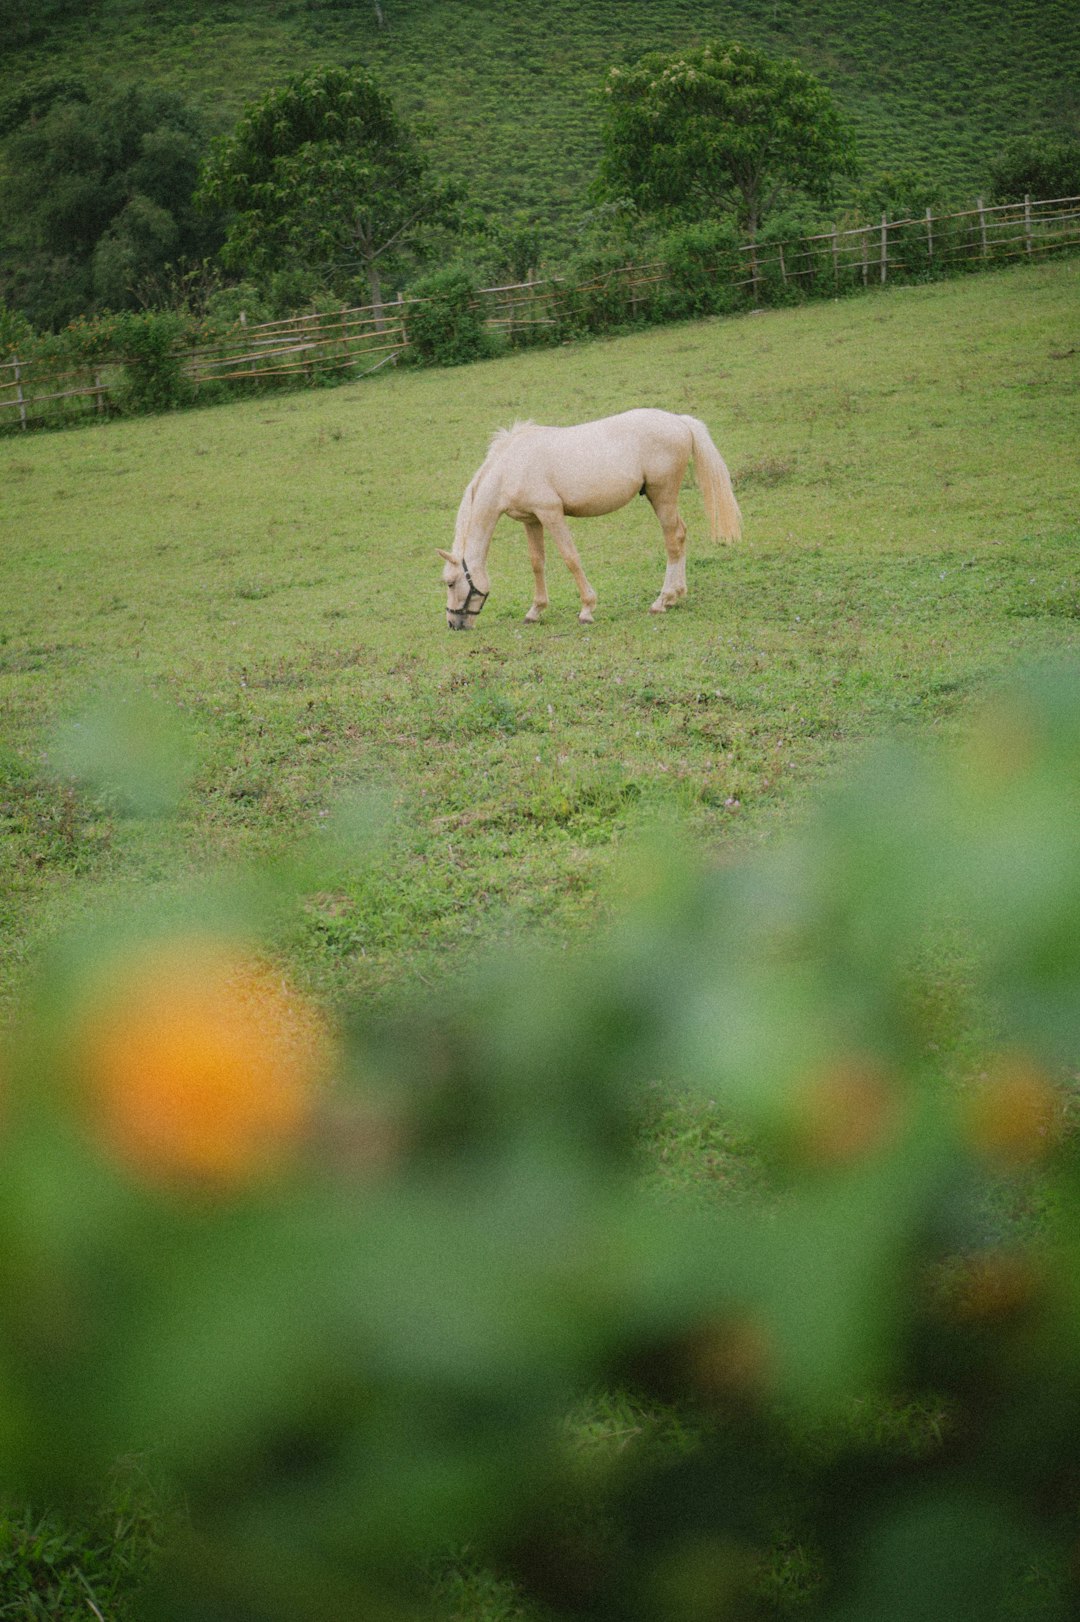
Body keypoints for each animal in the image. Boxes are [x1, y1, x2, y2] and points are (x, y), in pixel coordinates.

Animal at [434, 408, 732, 629]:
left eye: (450, 582)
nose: (453, 624)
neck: (510, 467)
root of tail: (679, 421)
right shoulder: (532, 520)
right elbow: (537, 563)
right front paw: (535, 611)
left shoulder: (551, 513)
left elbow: (570, 558)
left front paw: (587, 609)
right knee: (680, 536)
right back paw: (675, 596)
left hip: (662, 495)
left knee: (673, 539)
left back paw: (662, 601)